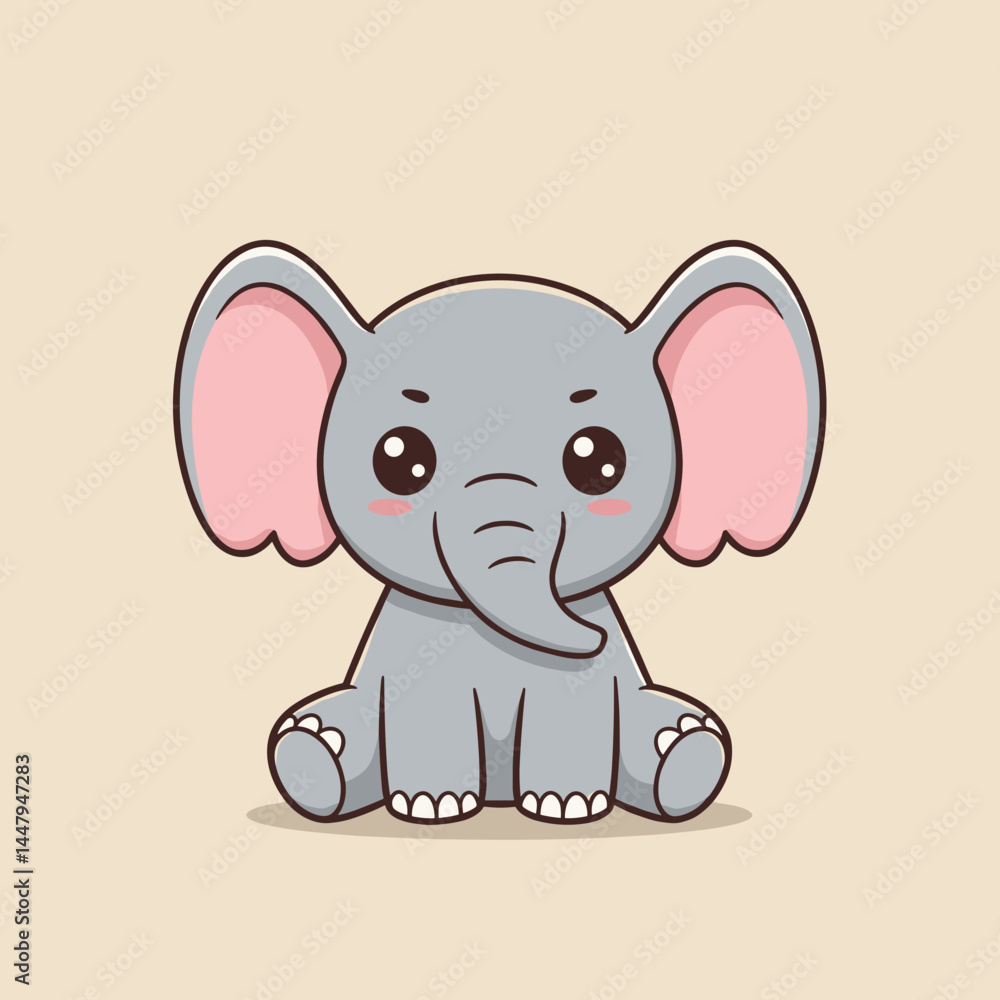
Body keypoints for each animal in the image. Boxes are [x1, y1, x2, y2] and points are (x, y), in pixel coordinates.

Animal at [174, 239, 824, 826]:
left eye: (600, 461)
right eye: (398, 458)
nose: (590, 640)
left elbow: (573, 710)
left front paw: (567, 807)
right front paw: (431, 807)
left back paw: (685, 746)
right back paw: (313, 747)